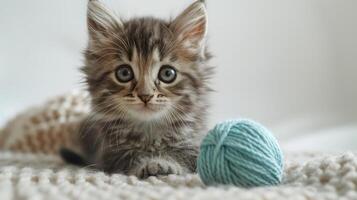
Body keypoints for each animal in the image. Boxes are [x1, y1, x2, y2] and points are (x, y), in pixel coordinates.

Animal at [60, 0, 211, 178]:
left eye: (167, 73)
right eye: (124, 73)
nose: (145, 95)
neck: (149, 129)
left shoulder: (195, 143)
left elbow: (186, 157)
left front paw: (165, 163)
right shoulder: (108, 154)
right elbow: (130, 157)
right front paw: (149, 164)